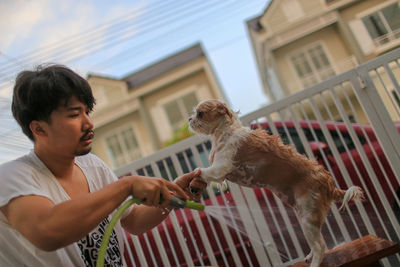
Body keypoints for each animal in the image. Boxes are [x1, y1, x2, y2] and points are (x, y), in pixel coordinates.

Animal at [188, 99, 362, 266]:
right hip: (304, 216)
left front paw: (195, 174)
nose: (189, 119)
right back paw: (309, 256)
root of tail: (328, 182)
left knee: (320, 246)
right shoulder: (221, 173)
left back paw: (314, 262)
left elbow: (204, 172)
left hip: (308, 217)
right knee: (318, 242)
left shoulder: (221, 166)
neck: (226, 132)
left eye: (200, 113)